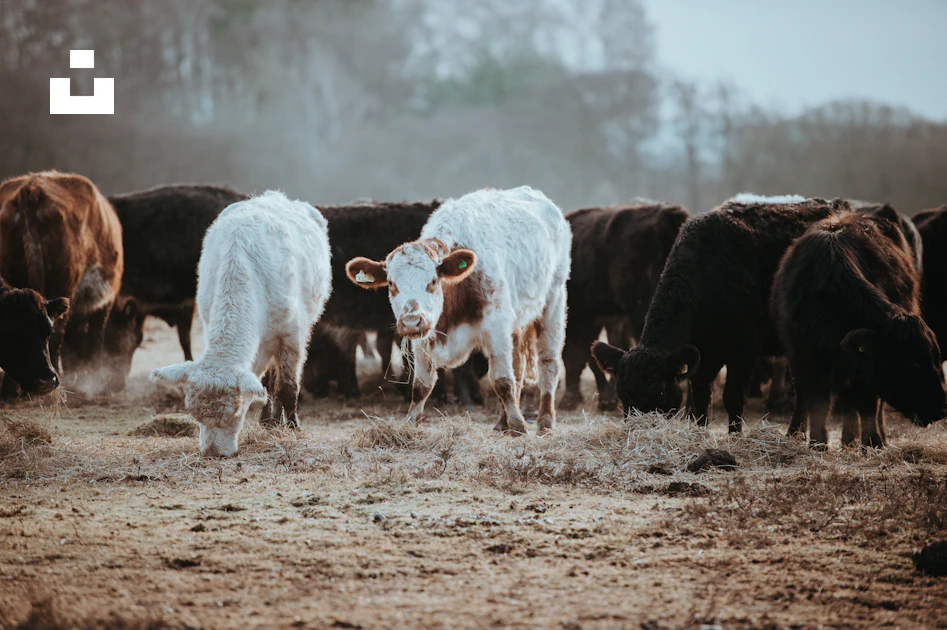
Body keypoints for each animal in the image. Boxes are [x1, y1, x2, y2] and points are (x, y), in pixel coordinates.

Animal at [150, 191, 331, 457]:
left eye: (233, 415)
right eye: (195, 416)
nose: (213, 452)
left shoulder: (292, 336)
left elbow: (288, 388)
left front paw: (294, 429)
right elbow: (266, 386)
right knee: (267, 382)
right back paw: (269, 421)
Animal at [346, 186, 571, 435]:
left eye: (433, 281)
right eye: (392, 283)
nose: (411, 321)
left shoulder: (497, 329)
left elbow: (502, 381)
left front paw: (519, 426)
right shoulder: (424, 337)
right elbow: (421, 386)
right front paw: (411, 423)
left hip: (553, 301)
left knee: (548, 363)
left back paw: (545, 421)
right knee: (518, 367)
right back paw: (502, 423)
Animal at [591, 194, 848, 433]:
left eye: (661, 394)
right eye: (623, 396)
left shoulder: (746, 347)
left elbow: (733, 396)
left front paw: (735, 435)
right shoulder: (703, 353)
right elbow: (701, 394)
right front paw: (699, 431)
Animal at [772, 212, 947, 447]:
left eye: (936, 358)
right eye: (912, 363)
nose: (941, 409)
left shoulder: (866, 371)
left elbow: (868, 408)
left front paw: (874, 442)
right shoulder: (803, 359)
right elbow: (817, 405)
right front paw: (818, 444)